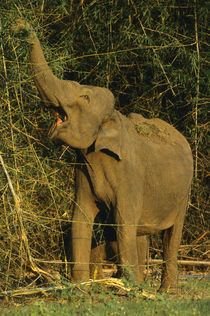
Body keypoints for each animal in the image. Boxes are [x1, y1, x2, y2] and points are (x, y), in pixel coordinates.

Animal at [16, 19, 194, 292]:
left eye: (85, 97)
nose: (20, 25)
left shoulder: (130, 173)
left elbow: (123, 221)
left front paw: (130, 291)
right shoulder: (82, 169)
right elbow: (80, 219)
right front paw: (81, 288)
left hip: (184, 192)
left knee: (171, 235)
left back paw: (164, 291)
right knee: (139, 232)